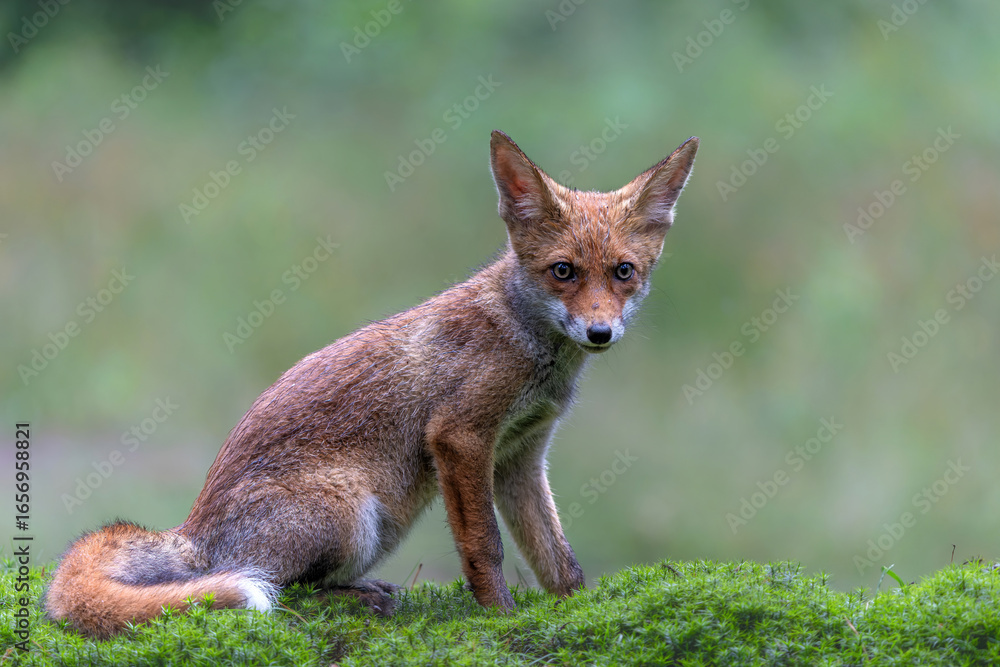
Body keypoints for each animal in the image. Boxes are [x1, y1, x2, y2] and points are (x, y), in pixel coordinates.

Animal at [44, 130, 699, 639]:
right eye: (563, 271)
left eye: (623, 272)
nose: (599, 331)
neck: (526, 344)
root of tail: (194, 535)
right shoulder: (460, 438)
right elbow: (484, 548)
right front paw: (499, 617)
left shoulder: (520, 457)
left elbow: (557, 556)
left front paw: (572, 610)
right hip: (353, 513)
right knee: (278, 591)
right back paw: (354, 598)